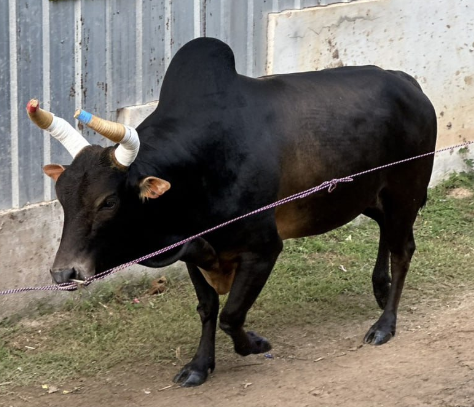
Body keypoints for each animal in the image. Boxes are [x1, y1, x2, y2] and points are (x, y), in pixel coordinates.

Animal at [27, 37, 437, 387]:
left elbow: (231, 315)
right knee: (387, 234)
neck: (197, 171)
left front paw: (255, 344)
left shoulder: (262, 249)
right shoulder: (191, 250)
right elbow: (208, 308)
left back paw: (384, 324)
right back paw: (381, 289)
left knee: (403, 249)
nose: (64, 272)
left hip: (405, 191)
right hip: (372, 196)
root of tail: (408, 83)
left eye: (109, 201)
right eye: (62, 197)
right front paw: (199, 366)